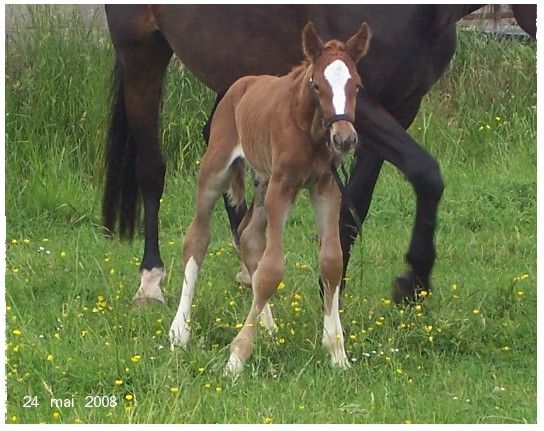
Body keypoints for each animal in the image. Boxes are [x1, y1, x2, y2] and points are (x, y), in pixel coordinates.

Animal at [104, 3, 536, 308]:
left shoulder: (398, 107)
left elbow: (355, 202)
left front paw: (335, 288)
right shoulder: (361, 106)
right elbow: (426, 172)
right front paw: (413, 280)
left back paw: (247, 268)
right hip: (142, 53)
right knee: (151, 170)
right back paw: (150, 281)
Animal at [171, 21, 374, 374]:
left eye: (357, 86)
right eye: (317, 85)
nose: (344, 138)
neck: (309, 129)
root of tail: (240, 85)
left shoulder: (324, 186)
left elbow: (331, 261)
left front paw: (337, 353)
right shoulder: (284, 185)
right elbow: (272, 270)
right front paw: (237, 357)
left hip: (263, 183)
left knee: (248, 235)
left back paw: (267, 325)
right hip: (218, 171)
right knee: (197, 238)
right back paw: (180, 331)